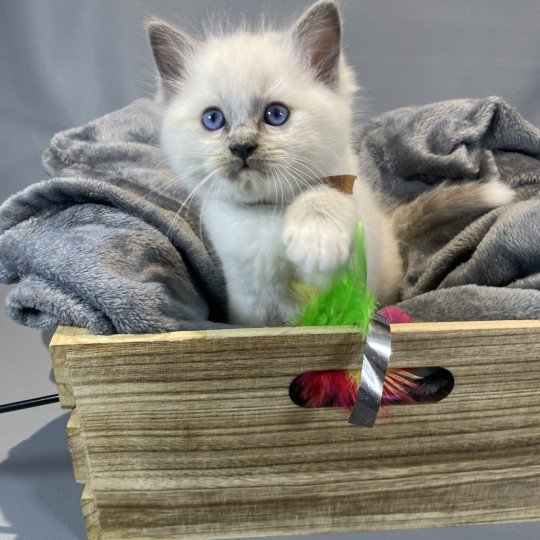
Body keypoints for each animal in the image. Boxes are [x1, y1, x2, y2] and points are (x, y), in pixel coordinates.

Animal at [147, 1, 510, 324]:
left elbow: (323, 195)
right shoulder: (247, 301)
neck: (268, 212)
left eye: (276, 115)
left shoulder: (346, 214)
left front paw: (314, 241)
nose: (241, 147)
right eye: (213, 120)